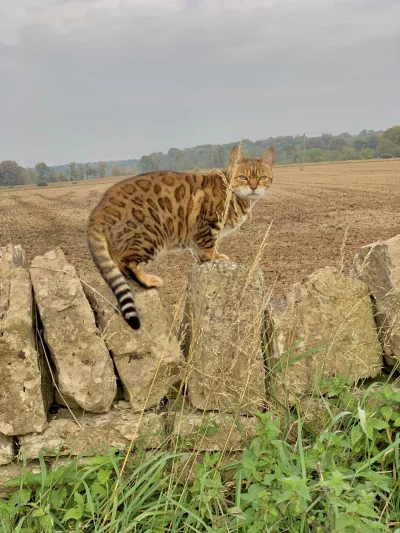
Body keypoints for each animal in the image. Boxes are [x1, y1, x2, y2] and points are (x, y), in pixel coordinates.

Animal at [87, 145, 276, 328]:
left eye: (262, 177)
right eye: (243, 177)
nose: (253, 187)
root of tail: (97, 211)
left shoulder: (195, 236)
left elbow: (197, 249)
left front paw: (203, 259)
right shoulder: (207, 224)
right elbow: (209, 245)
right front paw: (215, 257)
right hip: (151, 235)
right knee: (125, 264)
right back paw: (148, 280)